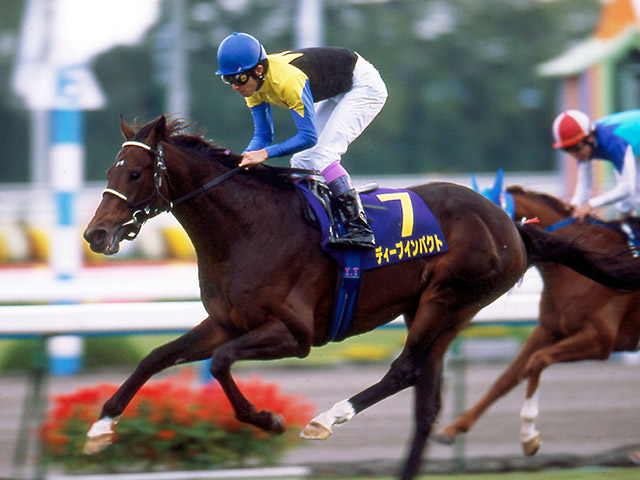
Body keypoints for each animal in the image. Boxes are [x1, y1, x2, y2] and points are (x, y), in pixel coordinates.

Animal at [433, 180, 640, 457]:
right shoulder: (548, 329)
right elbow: (506, 378)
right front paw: (451, 429)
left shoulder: (601, 339)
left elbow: (537, 360)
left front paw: (528, 436)